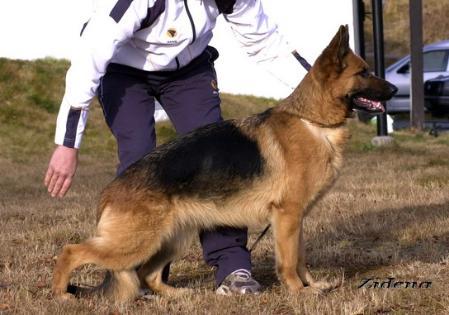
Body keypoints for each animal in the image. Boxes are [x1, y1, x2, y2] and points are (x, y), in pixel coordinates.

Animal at [51, 25, 396, 302]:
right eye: (364, 72)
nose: (394, 89)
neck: (313, 121)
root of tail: (111, 190)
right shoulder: (287, 216)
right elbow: (289, 261)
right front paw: (299, 291)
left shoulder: (296, 219)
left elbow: (300, 257)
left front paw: (312, 285)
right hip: (134, 242)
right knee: (72, 251)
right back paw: (61, 295)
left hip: (171, 238)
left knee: (147, 273)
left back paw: (175, 295)